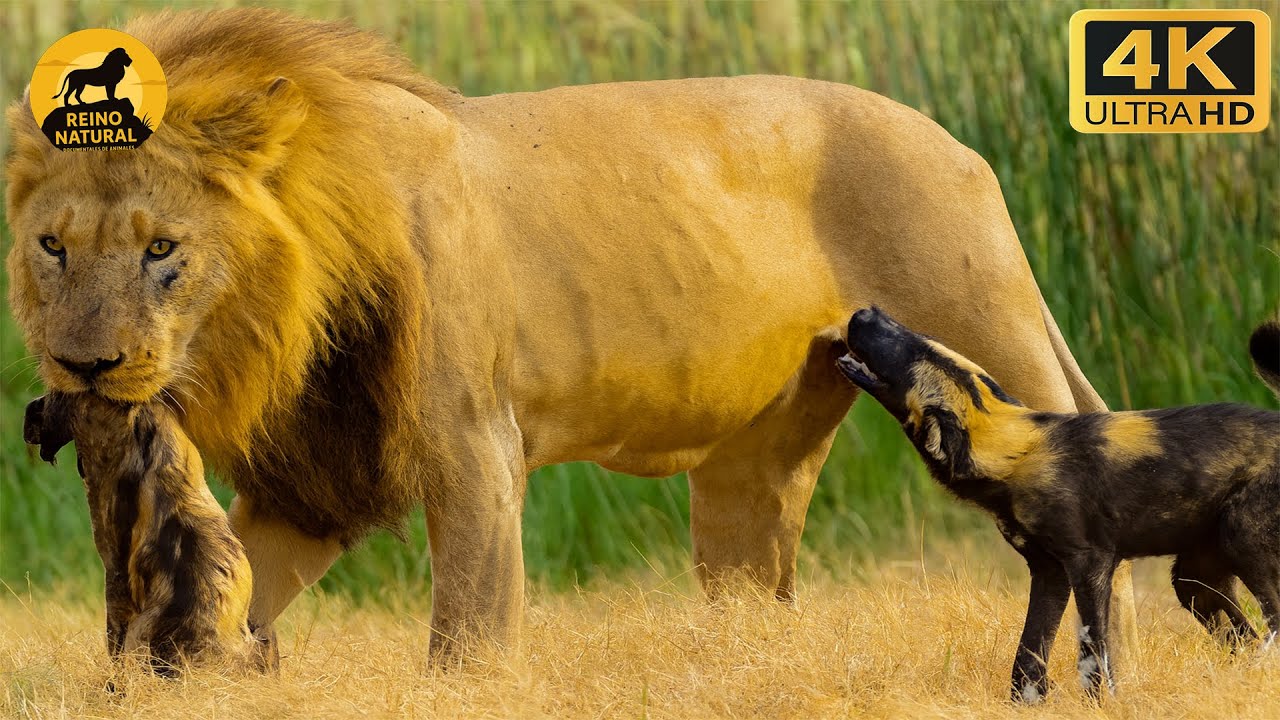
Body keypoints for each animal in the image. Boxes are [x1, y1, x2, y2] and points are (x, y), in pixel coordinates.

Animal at [5, 8, 1137, 665]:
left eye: (163, 248)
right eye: (52, 247)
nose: (84, 367)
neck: (283, 319)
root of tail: (960, 146)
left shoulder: (474, 450)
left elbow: (467, 637)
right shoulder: (313, 478)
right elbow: (224, 595)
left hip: (985, 330)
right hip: (753, 465)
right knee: (753, 588)